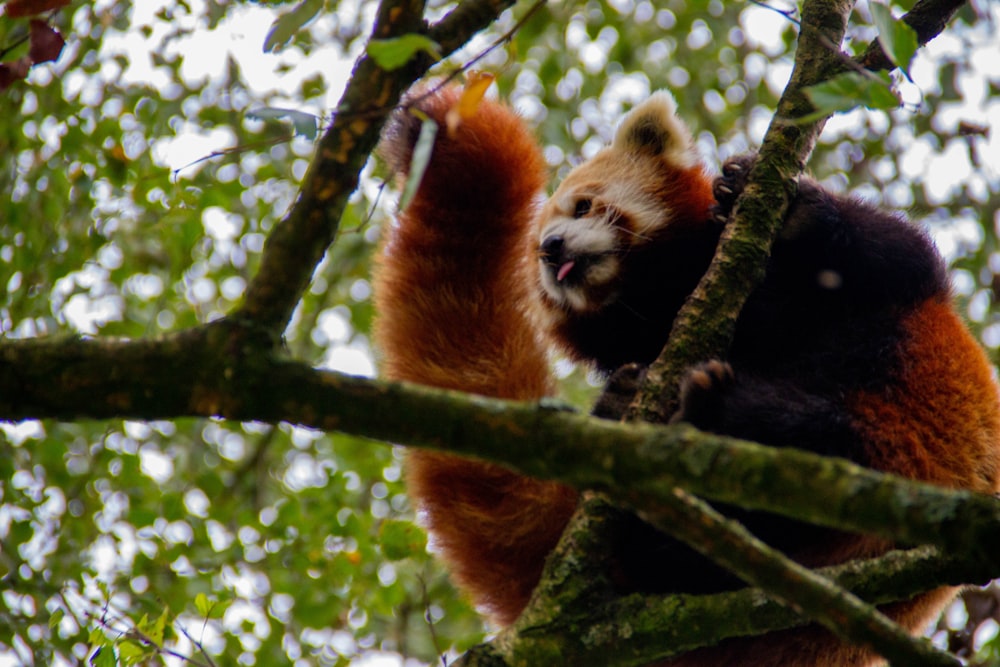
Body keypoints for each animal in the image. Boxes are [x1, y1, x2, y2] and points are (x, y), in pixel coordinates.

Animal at [372, 85, 996, 667]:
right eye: (532, 252)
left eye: (583, 206)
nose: (550, 250)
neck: (668, 288)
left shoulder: (884, 285)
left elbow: (898, 257)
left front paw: (796, 211)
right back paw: (654, 409)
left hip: (902, 426)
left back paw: (711, 406)